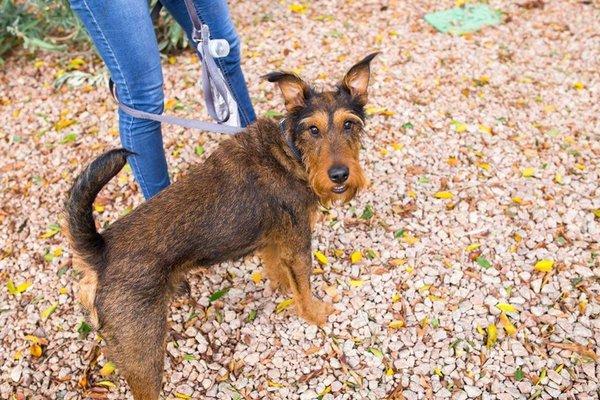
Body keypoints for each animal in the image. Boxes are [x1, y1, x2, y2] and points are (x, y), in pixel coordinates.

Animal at [64, 53, 376, 400]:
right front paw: (315, 314)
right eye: (312, 129)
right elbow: (304, 288)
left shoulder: (273, 242)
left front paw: (283, 288)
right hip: (144, 353)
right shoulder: (298, 244)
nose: (339, 175)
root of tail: (100, 250)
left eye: (349, 124)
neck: (291, 154)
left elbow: (278, 271)